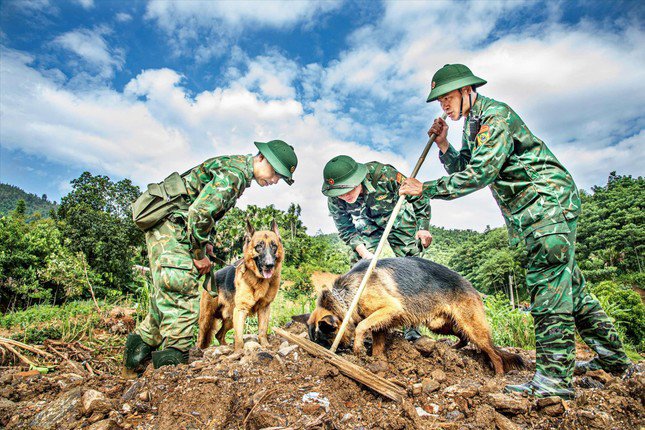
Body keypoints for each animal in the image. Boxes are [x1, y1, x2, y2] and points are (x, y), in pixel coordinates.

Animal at [197, 220, 284, 352]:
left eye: (274, 246)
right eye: (259, 246)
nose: (269, 265)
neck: (259, 280)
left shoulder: (264, 308)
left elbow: (262, 330)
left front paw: (265, 345)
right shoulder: (241, 310)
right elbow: (238, 336)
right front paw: (238, 351)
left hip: (230, 318)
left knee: (219, 334)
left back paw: (224, 346)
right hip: (207, 319)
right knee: (201, 337)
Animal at [300, 256, 524, 374]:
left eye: (326, 343)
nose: (334, 353)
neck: (345, 296)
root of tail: (471, 286)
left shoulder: (390, 308)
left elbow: (362, 326)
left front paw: (358, 348)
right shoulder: (381, 323)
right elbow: (377, 342)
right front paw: (377, 362)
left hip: (471, 326)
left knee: (493, 352)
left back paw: (497, 376)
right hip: (441, 324)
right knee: (463, 337)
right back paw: (454, 348)